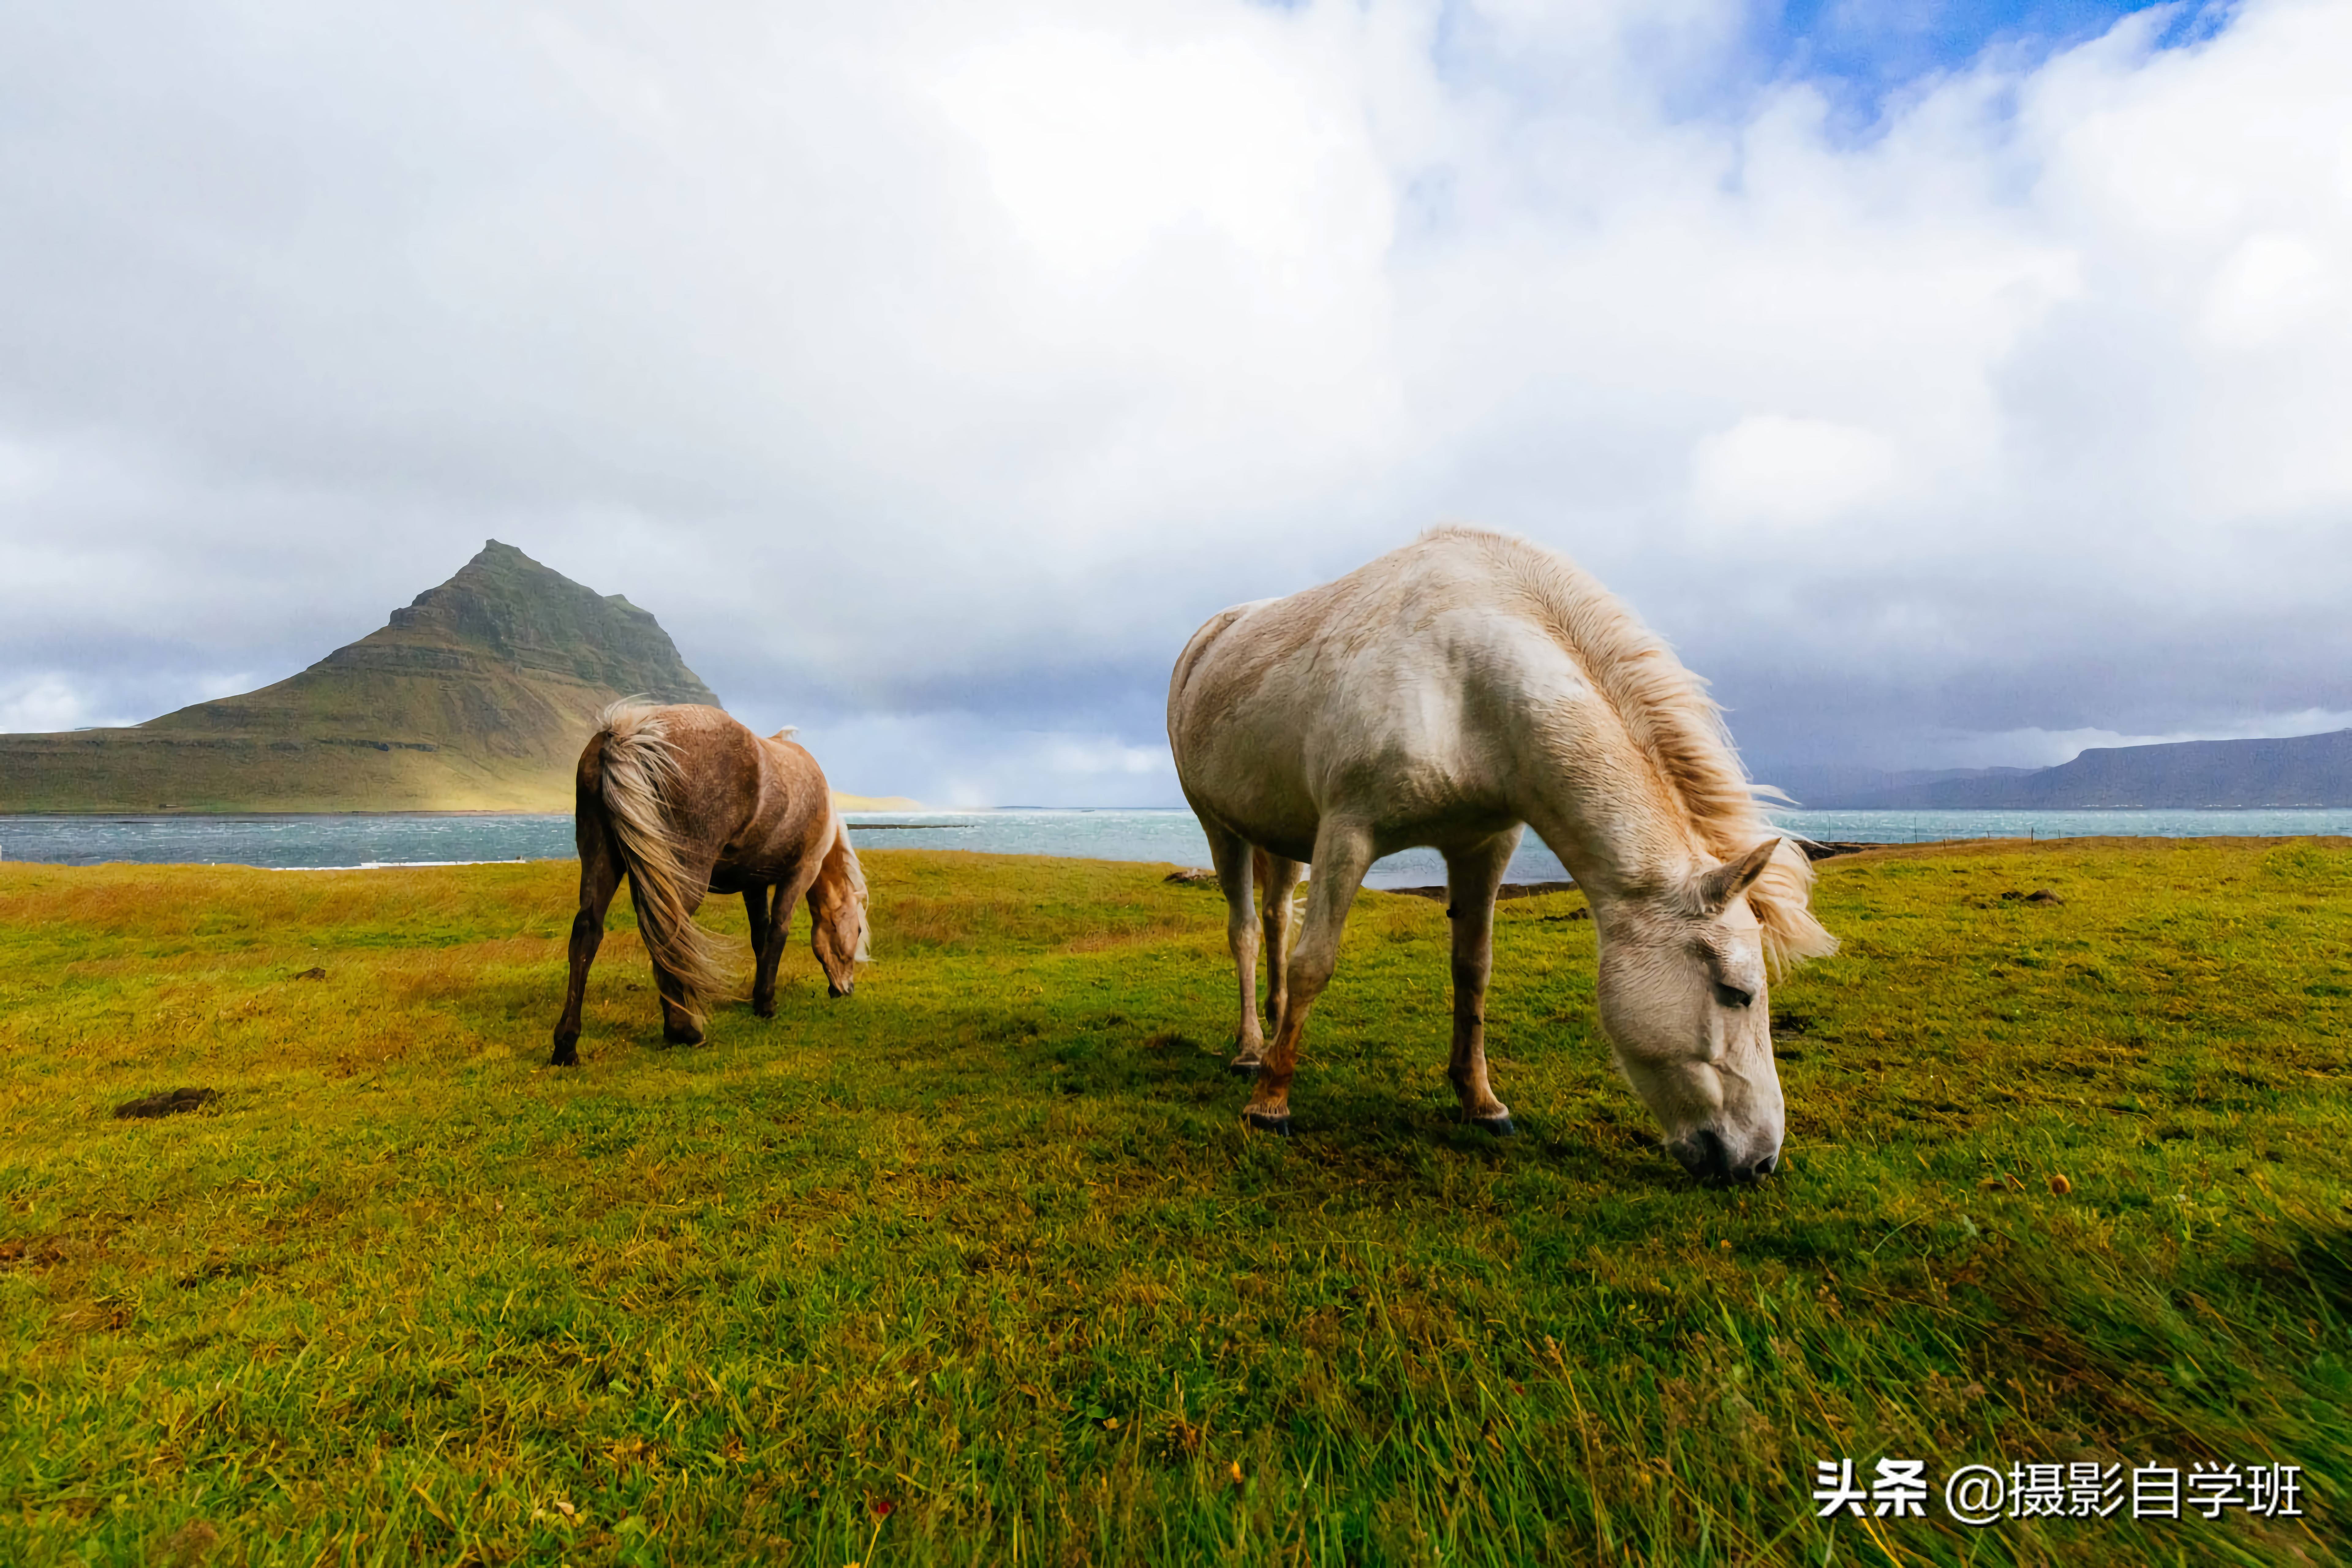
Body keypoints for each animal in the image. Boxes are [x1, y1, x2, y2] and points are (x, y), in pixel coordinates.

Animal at [545, 705, 870, 1072]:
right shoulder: (800, 872)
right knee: (668, 933)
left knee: (588, 932)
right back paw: (684, 1030)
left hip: (601, 858)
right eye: (858, 931)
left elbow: (760, 936)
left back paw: (567, 1045)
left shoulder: (754, 883)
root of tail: (628, 733)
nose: (846, 988)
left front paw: (758, 996)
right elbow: (778, 932)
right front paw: (767, 1004)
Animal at [1171, 522, 1834, 1185]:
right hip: (1220, 826)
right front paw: (1270, 1104)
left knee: (1278, 918)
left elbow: (1474, 971)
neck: (1468, 685)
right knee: (1246, 931)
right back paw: (1252, 1051)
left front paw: (1481, 1101)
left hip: (1282, 835)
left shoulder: (1484, 845)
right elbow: (1316, 963)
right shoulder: (1347, 833)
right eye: (1736, 993)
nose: (1760, 1160)